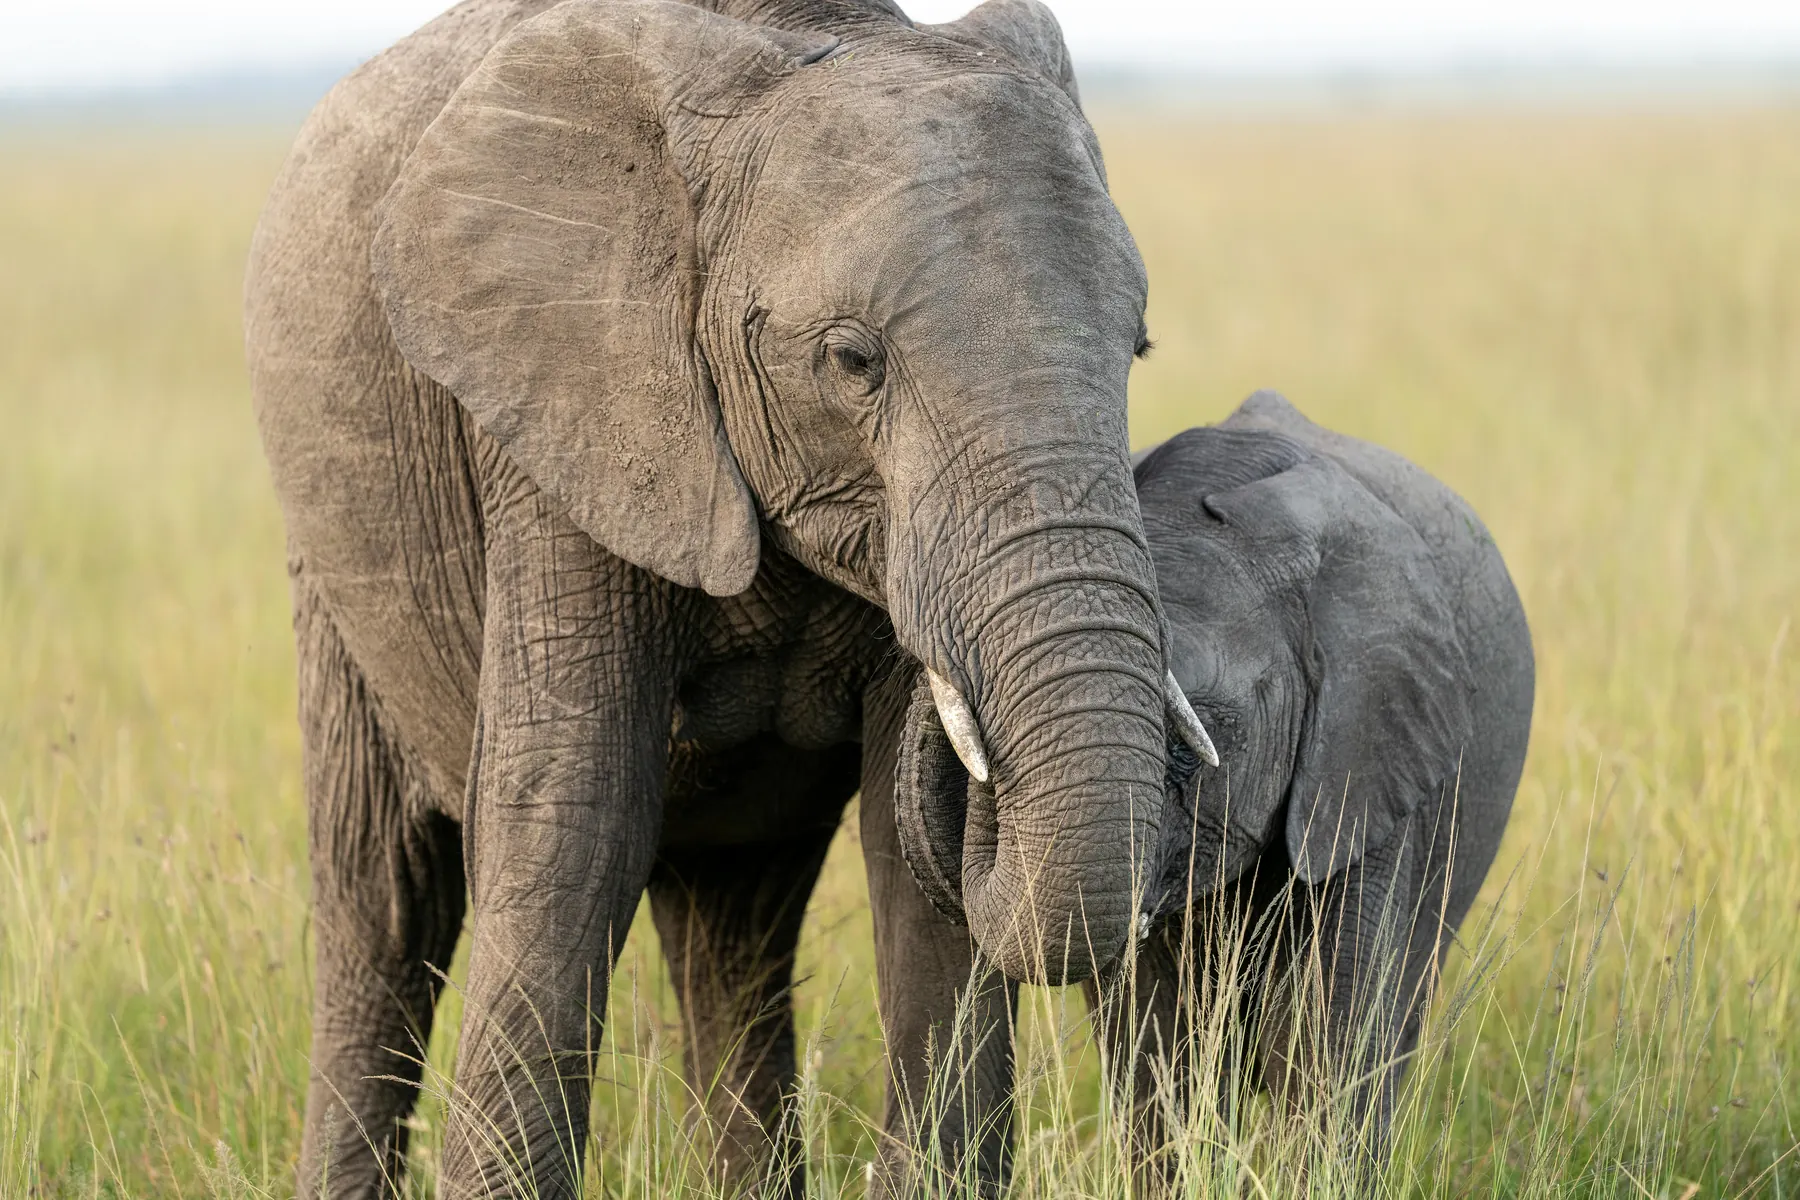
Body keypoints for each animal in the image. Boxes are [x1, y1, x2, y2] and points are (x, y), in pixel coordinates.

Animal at [243, 0, 1208, 1195]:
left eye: (1138, 348)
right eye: (851, 359)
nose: (963, 712)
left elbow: (910, 876)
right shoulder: (563, 414)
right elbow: (574, 826)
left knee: (735, 925)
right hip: (330, 569)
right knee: (385, 904)